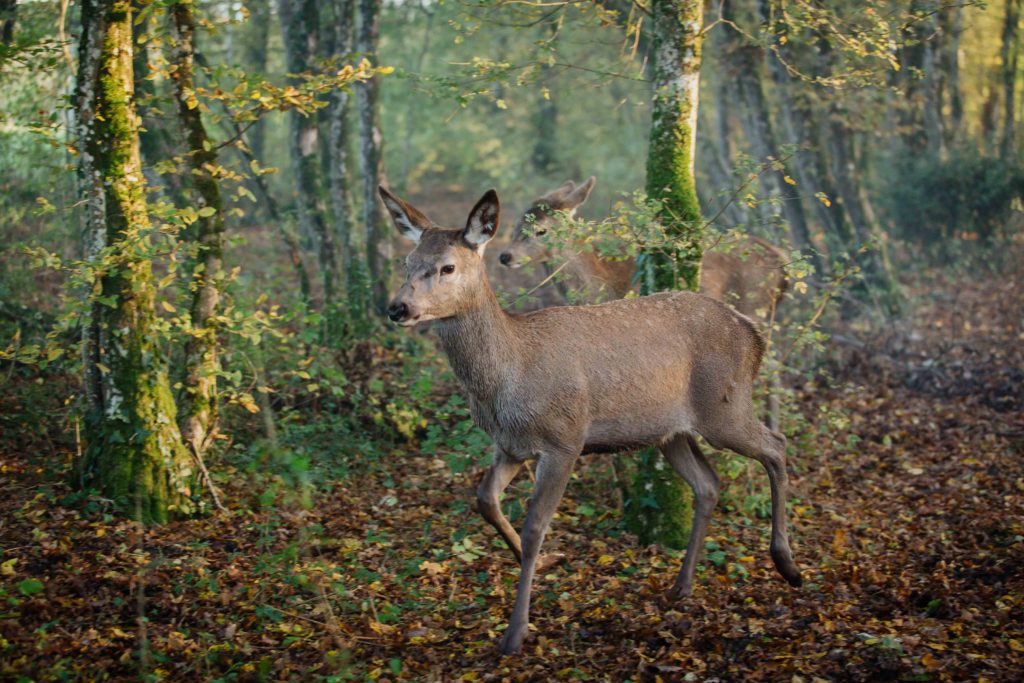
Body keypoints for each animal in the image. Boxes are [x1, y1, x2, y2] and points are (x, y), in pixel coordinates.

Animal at [499, 179, 786, 430]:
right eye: (517, 224)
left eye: (541, 230)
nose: (505, 256)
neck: (601, 283)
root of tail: (782, 265)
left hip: (755, 305)